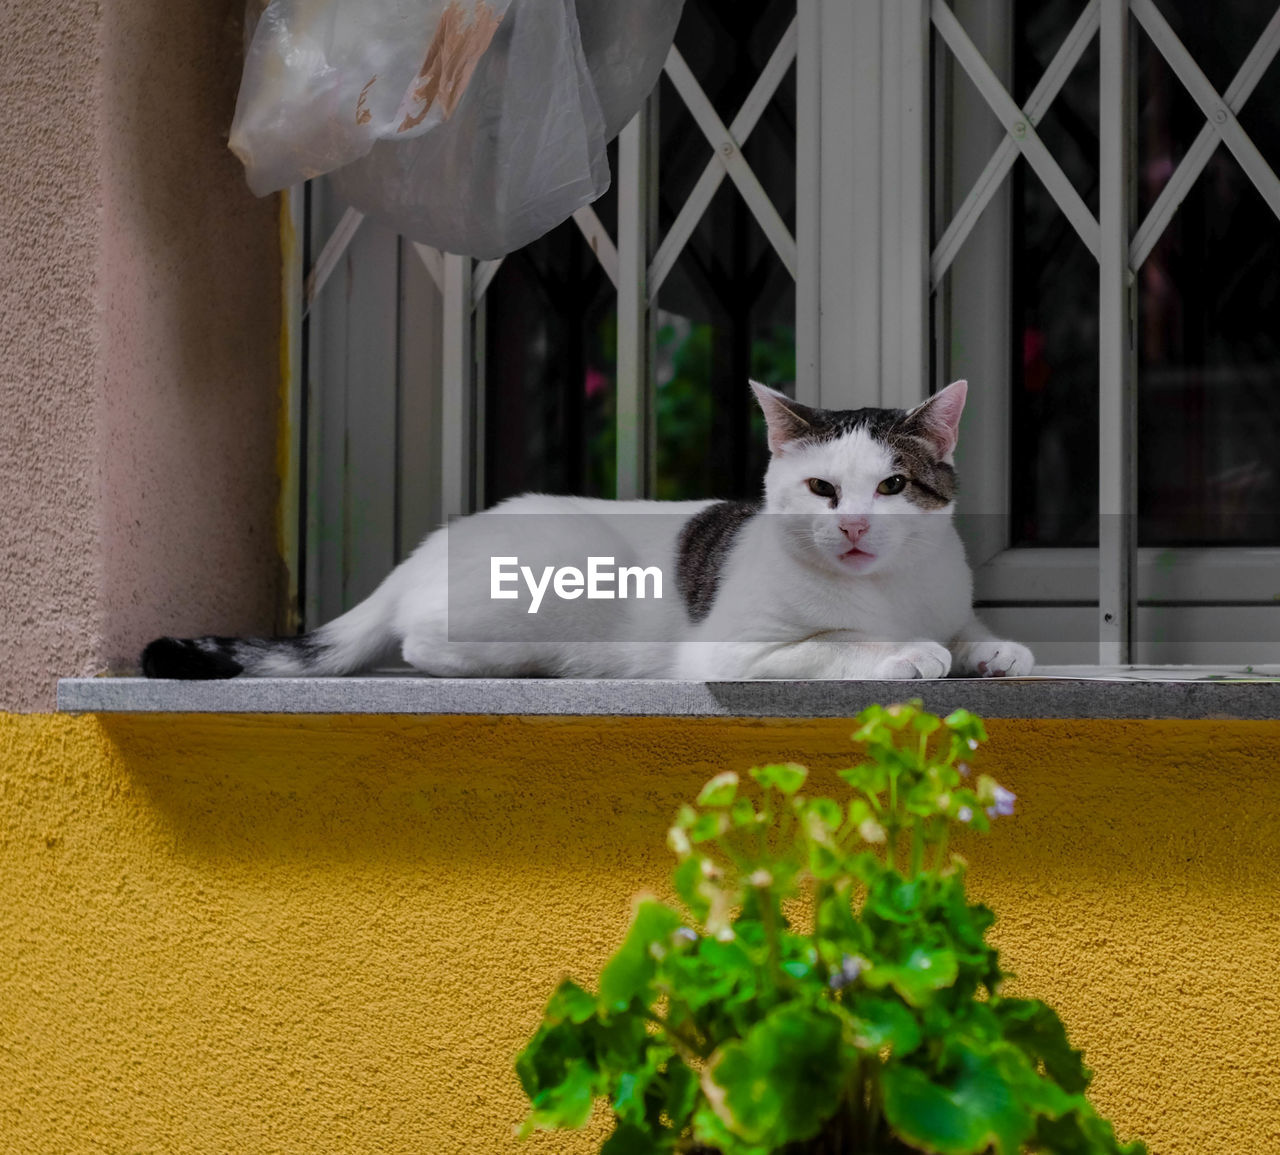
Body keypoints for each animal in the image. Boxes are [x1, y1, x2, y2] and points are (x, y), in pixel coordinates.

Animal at [140, 384, 1034, 681]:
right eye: (821, 488)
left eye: (893, 486)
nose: (851, 525)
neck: (887, 590)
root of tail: (426, 548)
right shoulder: (737, 651)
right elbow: (838, 641)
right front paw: (909, 652)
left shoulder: (948, 591)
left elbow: (968, 626)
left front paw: (992, 650)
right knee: (422, 643)